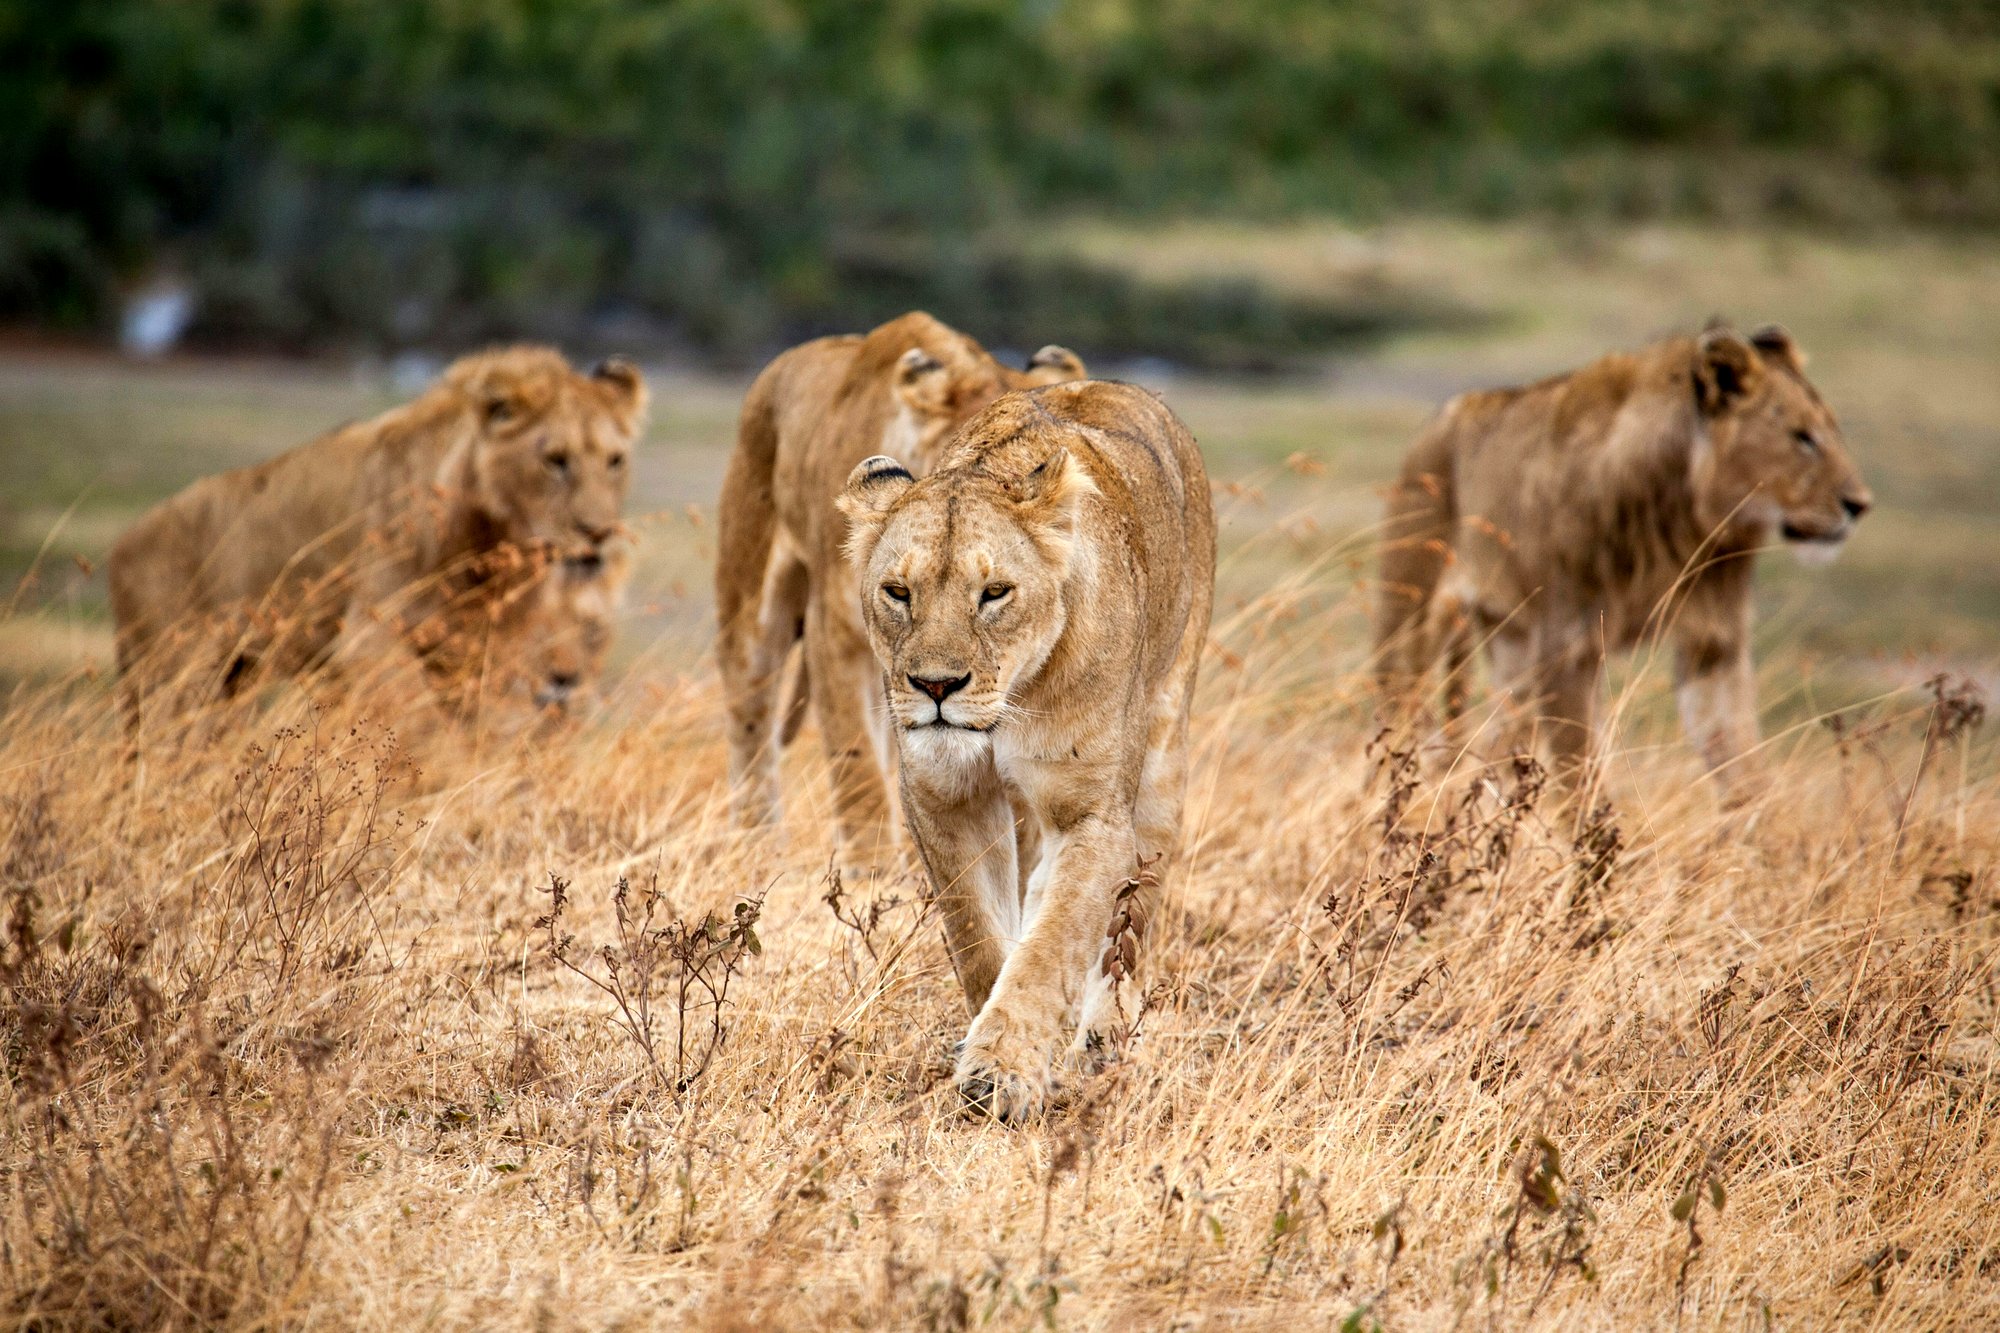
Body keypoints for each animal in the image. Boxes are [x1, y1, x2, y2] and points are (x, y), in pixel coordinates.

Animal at [109, 346, 646, 732]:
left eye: (615, 461)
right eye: (555, 460)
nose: (599, 532)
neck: (487, 547)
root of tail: (124, 541)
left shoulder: (478, 653)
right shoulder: (371, 644)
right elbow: (413, 737)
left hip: (232, 676)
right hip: (172, 675)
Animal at [715, 312, 1085, 871]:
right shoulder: (836, 636)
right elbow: (858, 770)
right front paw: (871, 874)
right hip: (750, 602)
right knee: (751, 722)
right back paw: (755, 848)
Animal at [838, 380, 1216, 1121]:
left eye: (994, 593)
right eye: (898, 592)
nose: (936, 686)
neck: (1008, 706)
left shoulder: (1093, 814)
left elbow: (1053, 944)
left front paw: (1001, 1074)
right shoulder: (943, 796)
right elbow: (980, 936)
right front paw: (988, 1042)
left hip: (1163, 760)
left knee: (1131, 925)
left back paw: (1101, 1045)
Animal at [1375, 323, 1871, 792]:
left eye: (1833, 432)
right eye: (1802, 438)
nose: (1860, 505)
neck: (1685, 522)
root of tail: (1443, 415)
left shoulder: (1714, 643)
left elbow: (1744, 769)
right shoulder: (1568, 648)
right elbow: (1583, 787)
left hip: (1510, 642)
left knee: (1496, 749)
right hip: (1412, 621)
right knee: (1396, 724)